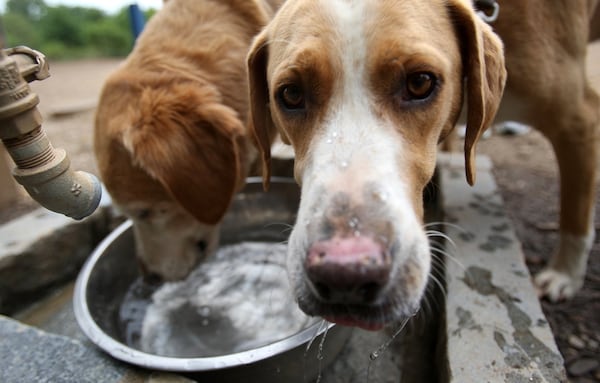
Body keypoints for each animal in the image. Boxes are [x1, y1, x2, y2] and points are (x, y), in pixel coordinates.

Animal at [246, 0, 596, 330]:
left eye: (420, 83)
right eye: (291, 94)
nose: (344, 273)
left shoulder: (580, 119)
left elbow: (576, 207)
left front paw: (564, 274)